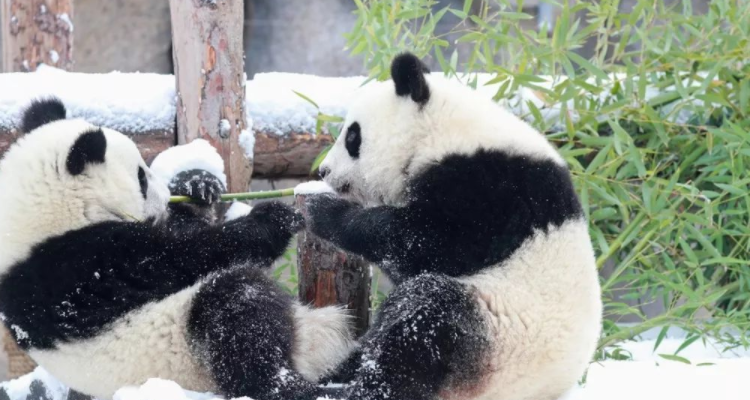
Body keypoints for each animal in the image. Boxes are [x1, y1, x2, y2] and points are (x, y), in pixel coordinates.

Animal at [0, 97, 356, 400]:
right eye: (141, 178)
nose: (162, 196)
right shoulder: (85, 266)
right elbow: (188, 256)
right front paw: (272, 219)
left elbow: (182, 229)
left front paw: (197, 185)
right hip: (186, 354)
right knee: (236, 312)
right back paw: (297, 385)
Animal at [306, 53, 604, 400]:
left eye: (353, 137)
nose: (324, 171)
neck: (440, 132)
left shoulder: (492, 193)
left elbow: (426, 243)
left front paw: (322, 210)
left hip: (496, 339)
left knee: (424, 317)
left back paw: (352, 388)